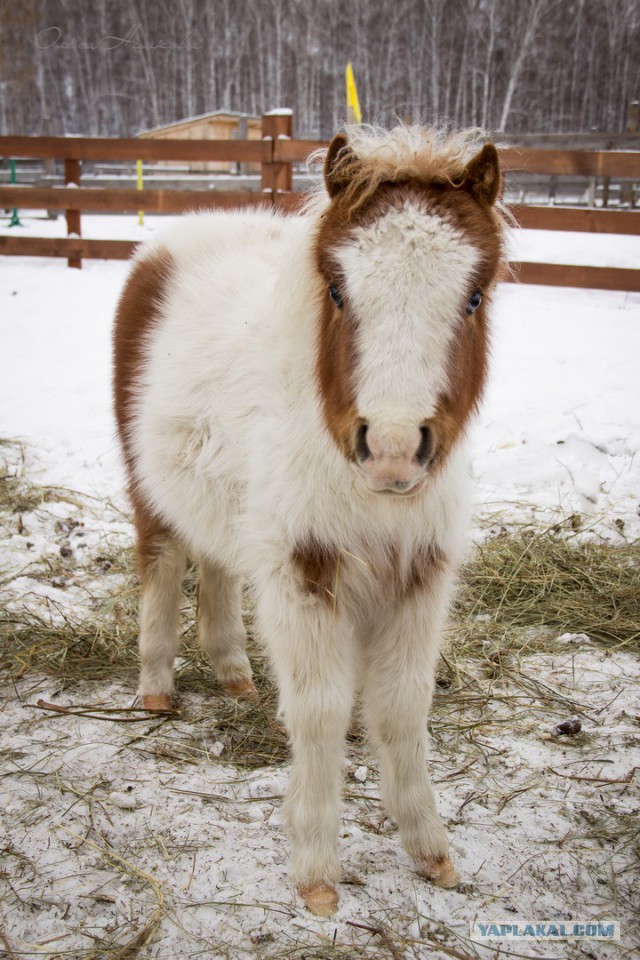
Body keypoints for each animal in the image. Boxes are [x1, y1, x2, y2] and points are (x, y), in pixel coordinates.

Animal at [112, 124, 508, 920]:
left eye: (474, 295)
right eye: (336, 289)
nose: (392, 448)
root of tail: (170, 241)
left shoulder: (419, 576)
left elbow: (402, 710)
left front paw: (430, 850)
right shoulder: (304, 570)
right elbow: (322, 714)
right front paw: (318, 872)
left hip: (229, 509)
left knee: (218, 572)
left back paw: (235, 675)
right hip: (150, 490)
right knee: (162, 570)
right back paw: (157, 688)